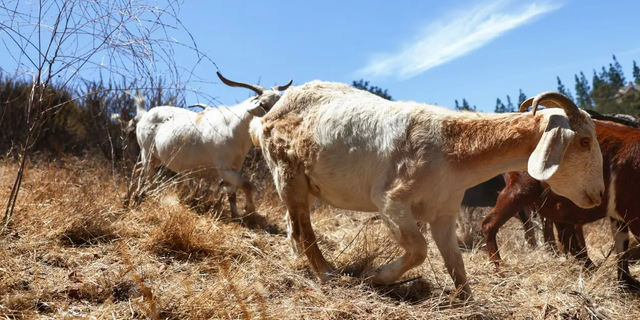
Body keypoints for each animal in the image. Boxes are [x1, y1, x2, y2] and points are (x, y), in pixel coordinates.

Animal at [120, 72, 292, 216]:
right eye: (263, 104)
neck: (233, 128)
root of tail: (145, 115)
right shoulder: (224, 169)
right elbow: (246, 184)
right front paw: (250, 210)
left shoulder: (235, 168)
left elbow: (232, 192)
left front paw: (236, 215)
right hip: (147, 152)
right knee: (145, 175)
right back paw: (139, 197)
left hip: (155, 158)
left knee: (139, 170)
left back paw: (131, 196)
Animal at [480, 119, 640, 292]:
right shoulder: (632, 214)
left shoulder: (619, 215)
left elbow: (621, 247)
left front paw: (627, 283)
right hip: (524, 188)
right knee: (489, 223)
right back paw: (499, 269)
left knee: (567, 239)